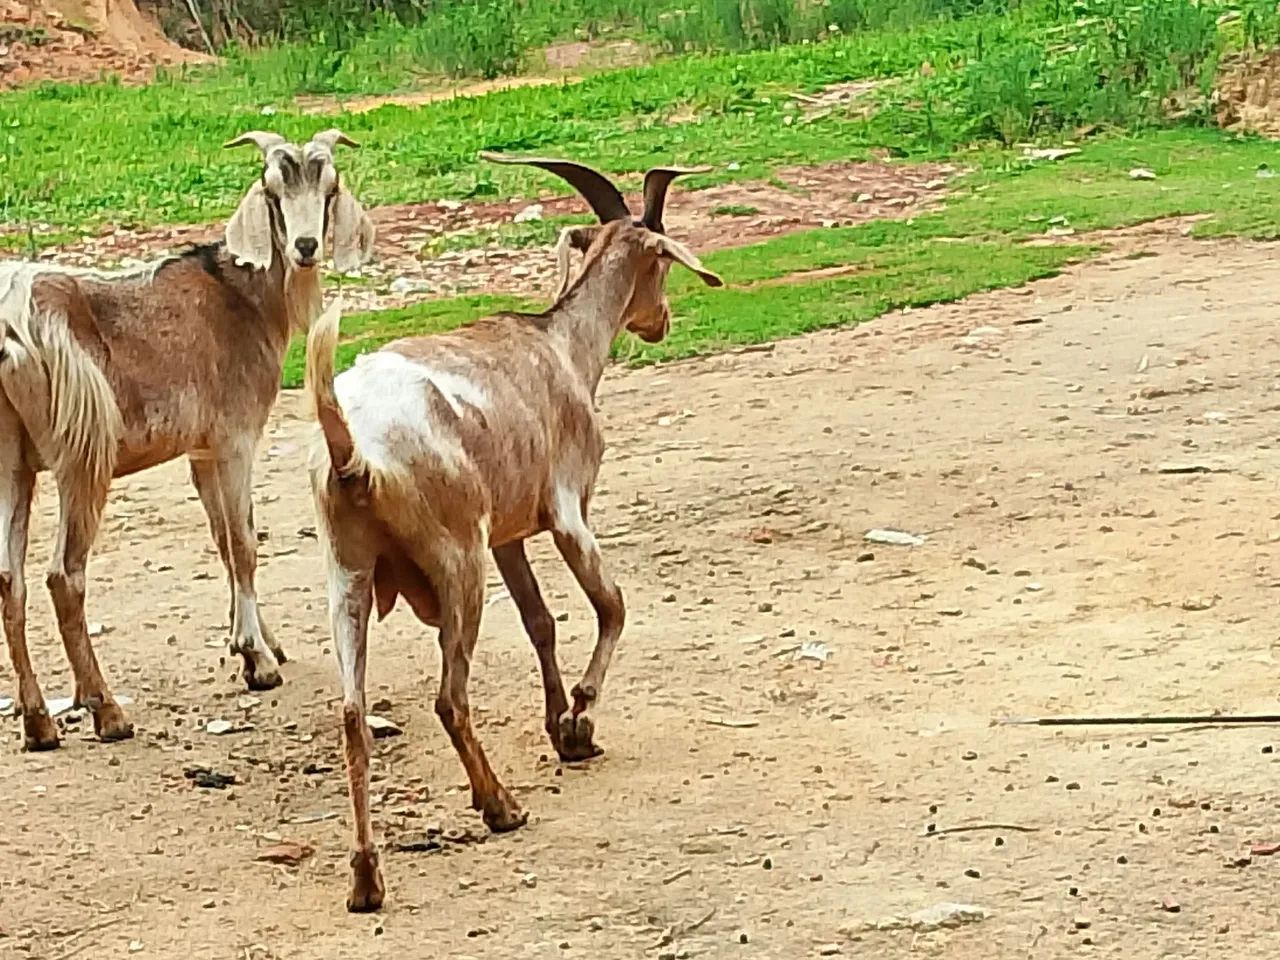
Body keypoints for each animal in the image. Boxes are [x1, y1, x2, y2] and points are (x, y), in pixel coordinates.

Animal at [0, 128, 374, 751]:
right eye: (272, 191)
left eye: (329, 186)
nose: (304, 247)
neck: (240, 297)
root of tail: (12, 325)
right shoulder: (235, 437)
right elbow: (245, 542)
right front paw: (257, 662)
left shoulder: (200, 452)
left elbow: (222, 540)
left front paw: (261, 643)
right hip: (82, 453)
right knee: (62, 575)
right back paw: (107, 712)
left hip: (12, 460)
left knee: (10, 579)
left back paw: (39, 723)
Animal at [305, 153, 723, 912]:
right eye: (661, 264)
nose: (659, 323)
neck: (560, 346)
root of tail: (356, 458)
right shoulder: (565, 509)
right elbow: (611, 605)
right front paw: (580, 720)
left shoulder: (508, 534)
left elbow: (540, 620)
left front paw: (561, 726)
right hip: (457, 562)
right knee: (449, 697)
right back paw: (499, 806)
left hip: (347, 577)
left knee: (352, 715)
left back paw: (366, 877)